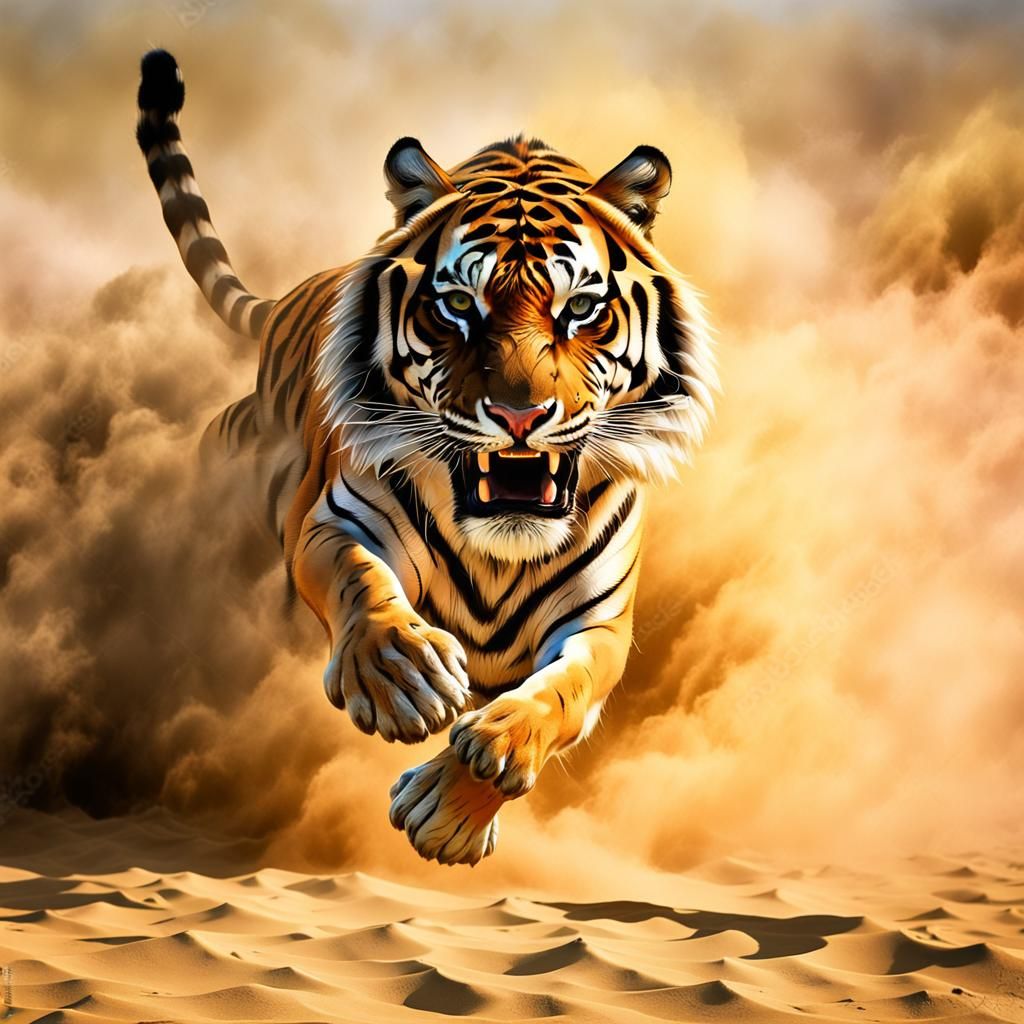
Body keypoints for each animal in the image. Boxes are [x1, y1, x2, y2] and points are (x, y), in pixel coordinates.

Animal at [136, 49, 716, 865]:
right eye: (458, 305)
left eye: (579, 307)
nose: (518, 415)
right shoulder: (333, 519)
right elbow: (361, 583)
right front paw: (401, 677)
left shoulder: (601, 623)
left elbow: (558, 699)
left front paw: (455, 802)